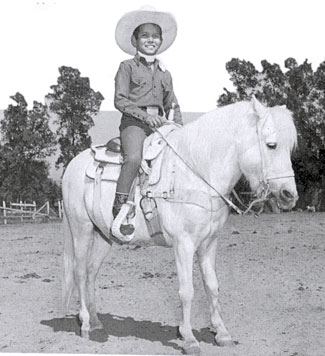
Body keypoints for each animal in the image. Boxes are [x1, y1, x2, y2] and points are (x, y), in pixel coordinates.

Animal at [62, 96, 298, 354]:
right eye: (271, 145)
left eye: (290, 147)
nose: (289, 195)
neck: (196, 173)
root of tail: (72, 165)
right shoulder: (183, 244)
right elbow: (187, 291)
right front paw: (189, 338)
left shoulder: (209, 243)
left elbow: (212, 286)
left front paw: (222, 333)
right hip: (81, 230)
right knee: (80, 271)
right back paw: (85, 323)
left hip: (105, 236)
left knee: (92, 272)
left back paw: (96, 322)